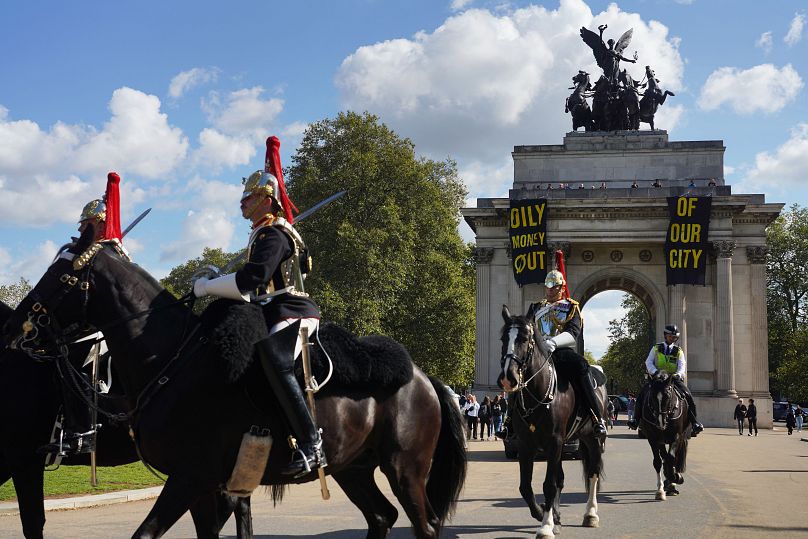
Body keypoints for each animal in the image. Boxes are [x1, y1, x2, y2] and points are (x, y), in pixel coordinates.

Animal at [492, 308, 608, 539]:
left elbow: (549, 484)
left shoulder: (554, 442)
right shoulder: (526, 444)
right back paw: (557, 516)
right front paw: (543, 514)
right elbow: (526, 487)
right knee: (561, 478)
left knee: (593, 473)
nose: (508, 378)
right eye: (503, 339)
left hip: (592, 439)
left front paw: (545, 525)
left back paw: (590, 514)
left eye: (524, 339)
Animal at [636, 372, 688, 502]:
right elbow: (658, 462)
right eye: (652, 397)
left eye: (668, 396)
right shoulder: (653, 439)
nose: (660, 422)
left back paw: (672, 482)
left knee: (671, 458)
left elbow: (671, 458)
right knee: (664, 457)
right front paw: (660, 490)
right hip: (661, 441)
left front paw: (676, 478)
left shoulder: (676, 437)